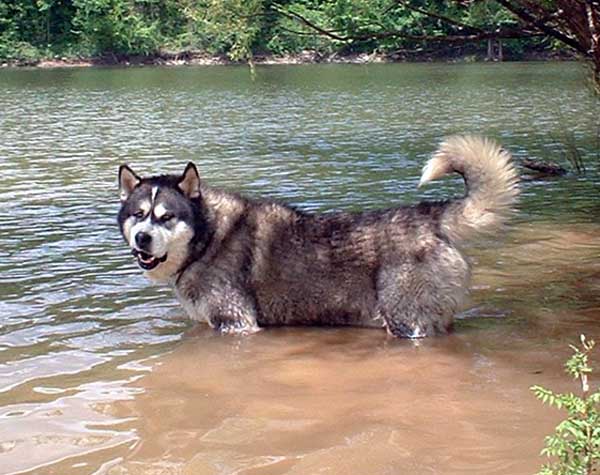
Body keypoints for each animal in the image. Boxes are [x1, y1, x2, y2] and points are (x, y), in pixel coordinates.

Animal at [118, 137, 520, 338]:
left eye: (166, 217)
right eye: (138, 214)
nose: (142, 238)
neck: (208, 238)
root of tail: (429, 215)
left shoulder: (237, 325)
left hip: (407, 323)